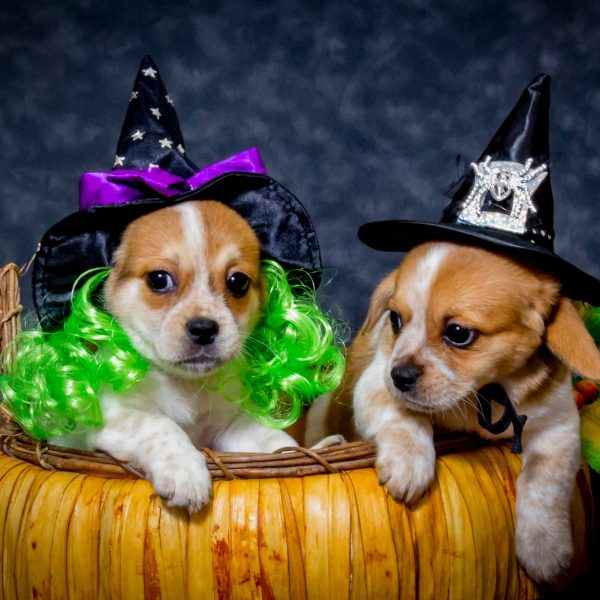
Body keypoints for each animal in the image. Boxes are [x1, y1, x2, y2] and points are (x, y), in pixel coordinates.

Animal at [57, 200, 296, 510]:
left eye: (238, 281)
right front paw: (185, 470)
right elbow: (158, 424)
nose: (204, 328)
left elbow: (271, 438)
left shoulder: (231, 427)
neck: (187, 386)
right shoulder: (111, 419)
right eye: (159, 279)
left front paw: (297, 454)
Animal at [312, 241, 600, 584]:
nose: (401, 376)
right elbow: (404, 416)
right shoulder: (375, 383)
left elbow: (545, 482)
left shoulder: (559, 425)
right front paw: (409, 464)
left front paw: (545, 547)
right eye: (395, 320)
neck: (486, 394)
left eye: (458, 333)